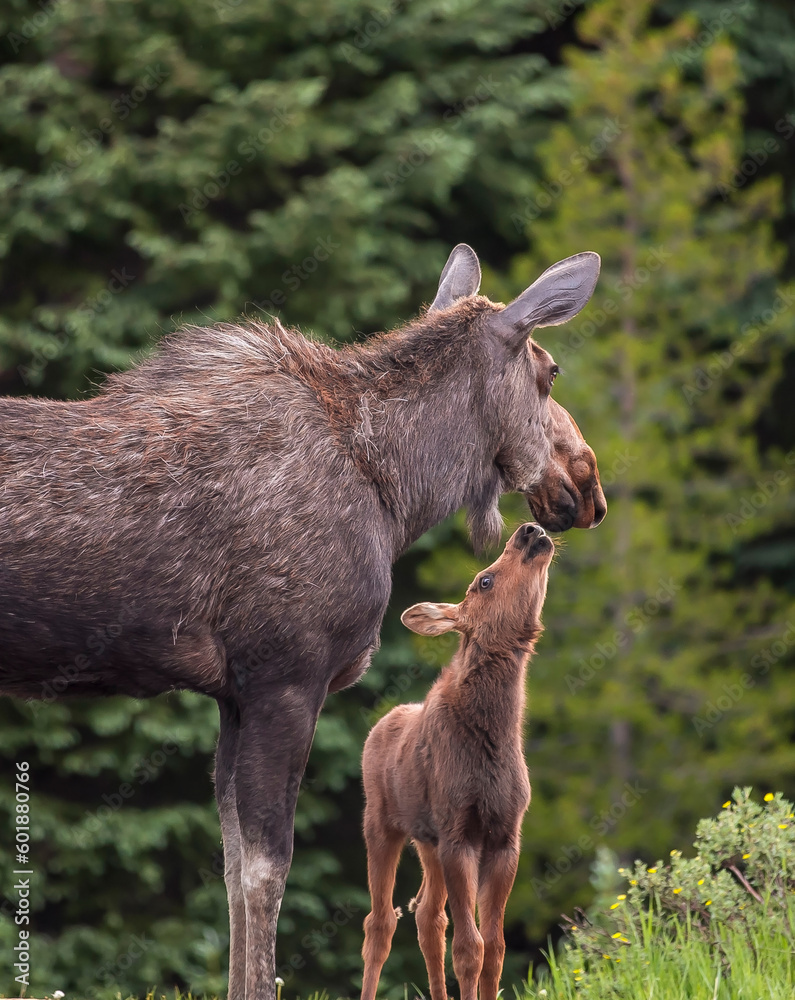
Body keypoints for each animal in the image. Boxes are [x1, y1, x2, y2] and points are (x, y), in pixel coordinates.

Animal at [361, 522, 555, 1000]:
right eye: (484, 580)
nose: (530, 529)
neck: (494, 738)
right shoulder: (458, 832)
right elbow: (471, 947)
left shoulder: (504, 835)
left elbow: (496, 948)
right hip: (381, 823)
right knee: (379, 922)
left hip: (427, 840)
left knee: (427, 915)